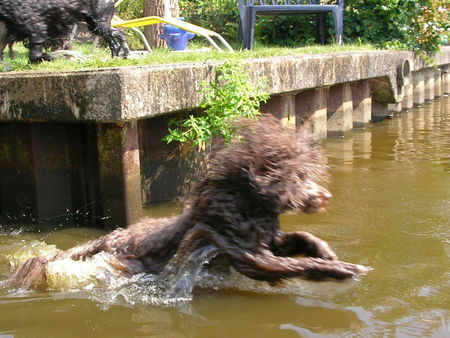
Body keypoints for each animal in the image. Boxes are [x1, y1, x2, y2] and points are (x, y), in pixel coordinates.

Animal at [0, 0, 129, 62]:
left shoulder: (37, 29)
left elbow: (36, 55)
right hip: (95, 25)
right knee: (114, 40)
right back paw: (115, 56)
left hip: (99, 24)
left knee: (118, 35)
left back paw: (125, 53)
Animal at [5, 117, 368, 290]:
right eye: (297, 177)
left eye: (306, 174)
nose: (325, 197)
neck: (248, 201)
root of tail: (108, 237)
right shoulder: (246, 253)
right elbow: (293, 265)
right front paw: (341, 270)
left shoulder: (267, 239)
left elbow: (300, 239)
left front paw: (326, 252)